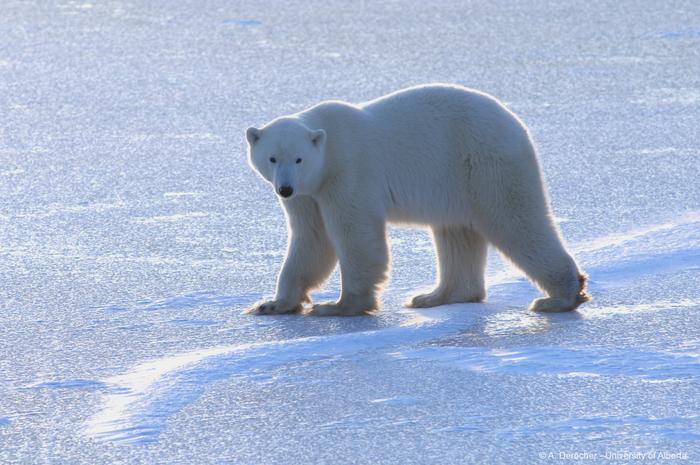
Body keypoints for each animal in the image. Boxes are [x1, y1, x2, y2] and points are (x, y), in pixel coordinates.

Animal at [243, 83, 588, 316]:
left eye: (299, 159)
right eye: (272, 158)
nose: (284, 189)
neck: (328, 148)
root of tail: (518, 126)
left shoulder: (348, 172)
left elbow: (355, 235)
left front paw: (340, 305)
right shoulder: (310, 194)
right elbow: (312, 239)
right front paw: (272, 304)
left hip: (485, 163)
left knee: (516, 221)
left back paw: (560, 297)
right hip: (456, 183)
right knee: (456, 234)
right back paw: (434, 296)